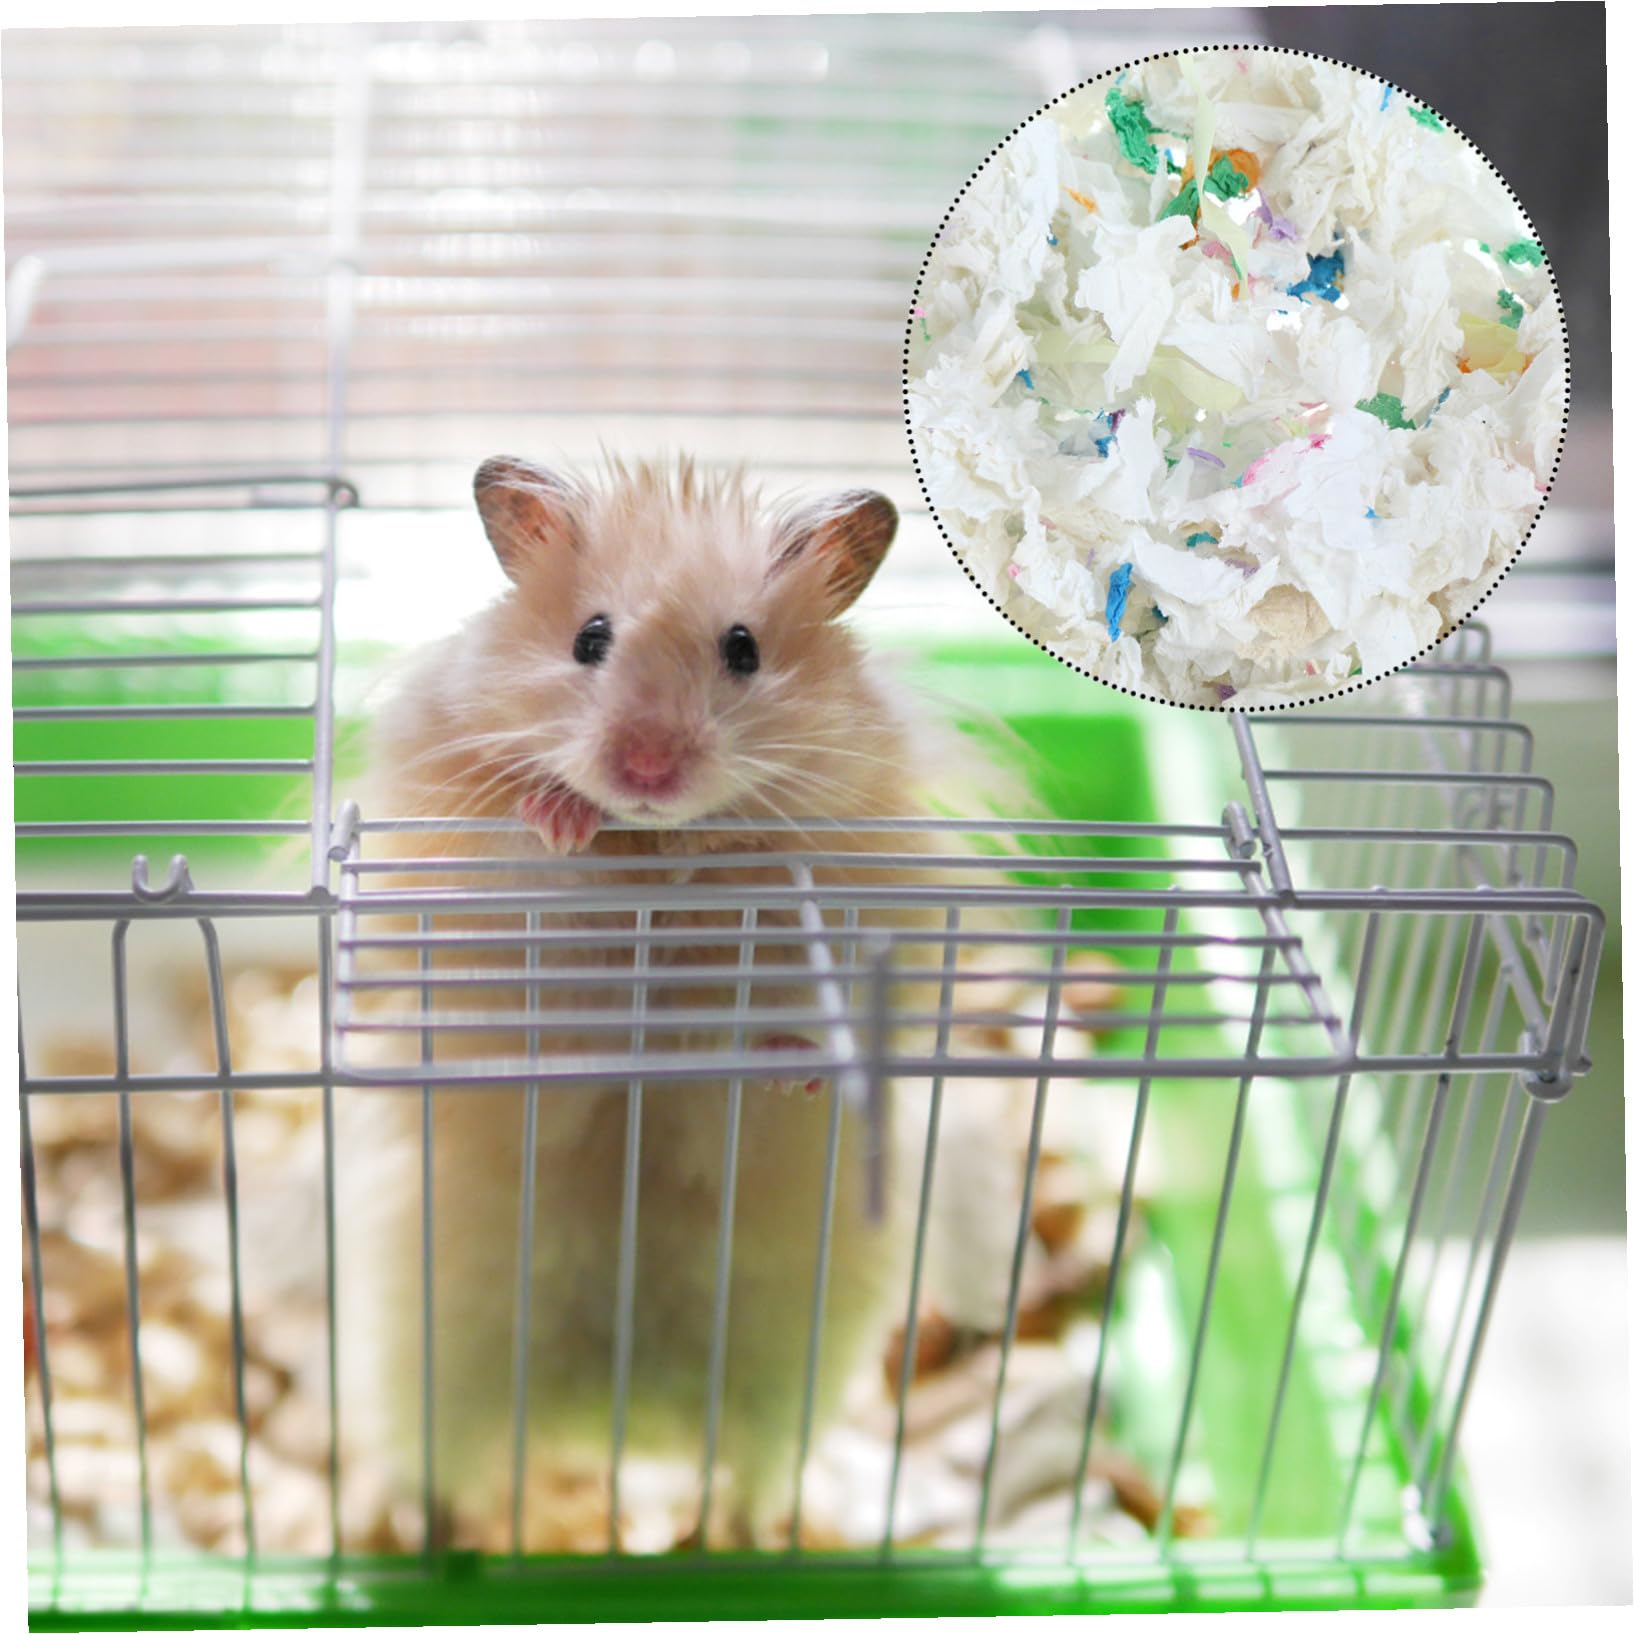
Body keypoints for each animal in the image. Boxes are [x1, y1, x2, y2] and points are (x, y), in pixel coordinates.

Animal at [336, 454, 999, 1551]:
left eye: (742, 649)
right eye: (588, 639)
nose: (645, 768)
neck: (651, 849)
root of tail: (619, 1421)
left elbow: (780, 968)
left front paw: (793, 1064)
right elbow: (536, 910)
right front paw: (563, 815)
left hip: (787, 1380)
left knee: (749, 1476)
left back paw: (736, 1537)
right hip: (429, 1363)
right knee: (439, 1469)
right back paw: (431, 1538)